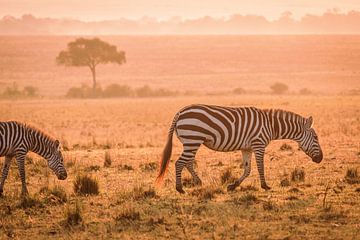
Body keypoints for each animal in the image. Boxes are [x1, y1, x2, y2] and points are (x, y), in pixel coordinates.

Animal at [156, 104, 322, 193]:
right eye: (316, 137)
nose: (321, 159)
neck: (271, 125)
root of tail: (180, 112)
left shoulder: (246, 148)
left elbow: (247, 169)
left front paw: (233, 185)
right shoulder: (258, 144)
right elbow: (260, 167)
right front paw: (265, 186)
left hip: (192, 142)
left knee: (188, 162)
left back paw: (198, 182)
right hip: (193, 140)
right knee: (180, 162)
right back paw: (180, 188)